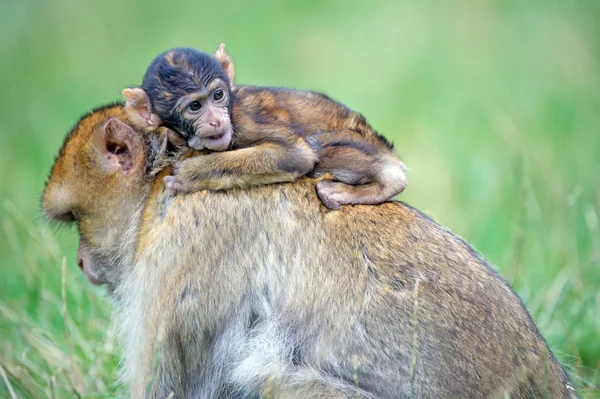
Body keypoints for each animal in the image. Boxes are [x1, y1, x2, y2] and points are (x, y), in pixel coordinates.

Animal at [125, 44, 408, 209]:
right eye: (195, 106)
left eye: (218, 95)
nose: (216, 120)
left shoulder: (243, 119)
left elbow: (297, 155)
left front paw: (191, 173)